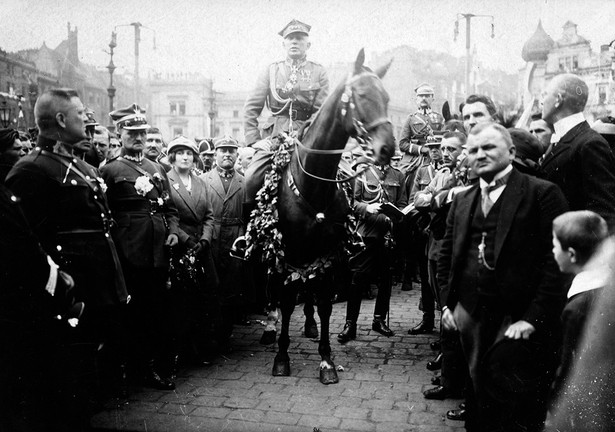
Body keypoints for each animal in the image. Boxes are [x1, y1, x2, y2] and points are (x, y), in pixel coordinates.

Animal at [248, 50, 392, 384]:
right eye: (362, 95)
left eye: (387, 98)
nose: (388, 147)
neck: (313, 182)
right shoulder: (287, 250)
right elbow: (287, 301)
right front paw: (282, 357)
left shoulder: (328, 250)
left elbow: (325, 302)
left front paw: (326, 360)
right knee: (274, 288)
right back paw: (271, 327)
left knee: (309, 289)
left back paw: (311, 325)